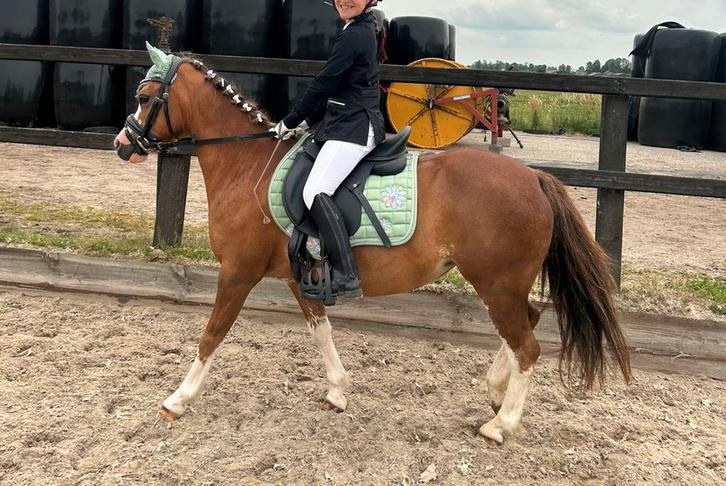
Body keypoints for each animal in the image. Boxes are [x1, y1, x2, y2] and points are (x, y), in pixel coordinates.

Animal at [113, 45, 631, 445]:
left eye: (143, 97)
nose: (122, 144)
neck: (247, 164)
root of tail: (535, 177)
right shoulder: (301, 276)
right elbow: (320, 330)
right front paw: (338, 391)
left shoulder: (237, 272)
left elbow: (211, 335)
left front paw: (176, 401)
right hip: (503, 283)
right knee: (528, 323)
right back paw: (495, 391)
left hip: (496, 281)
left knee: (527, 345)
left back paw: (500, 425)